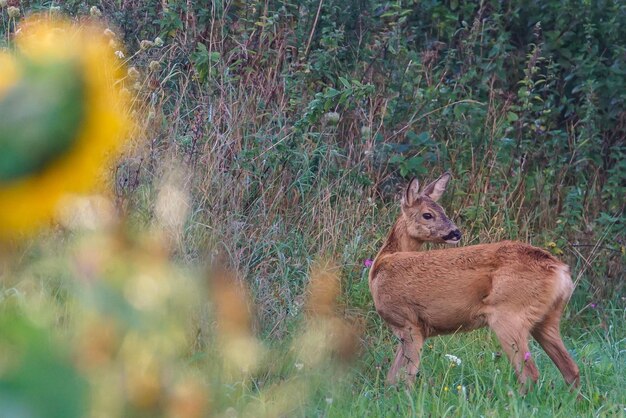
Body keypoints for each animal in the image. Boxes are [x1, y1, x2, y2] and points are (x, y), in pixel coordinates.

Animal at [368, 172, 576, 388]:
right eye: (428, 214)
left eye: (442, 210)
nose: (455, 233)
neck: (380, 266)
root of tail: (561, 272)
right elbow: (391, 377)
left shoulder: (409, 322)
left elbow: (405, 378)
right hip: (548, 319)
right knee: (571, 370)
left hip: (509, 315)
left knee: (530, 374)